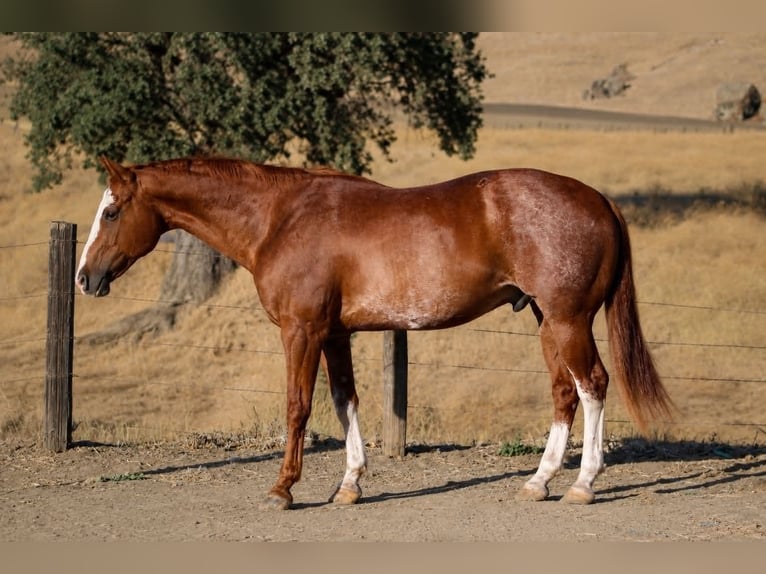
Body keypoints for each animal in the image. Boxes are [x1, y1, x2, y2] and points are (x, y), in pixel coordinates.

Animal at [76, 156, 673, 508]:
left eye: (111, 211)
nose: (85, 278)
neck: (279, 219)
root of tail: (598, 198)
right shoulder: (335, 334)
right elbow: (346, 402)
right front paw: (350, 484)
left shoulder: (301, 331)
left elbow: (297, 406)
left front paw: (284, 487)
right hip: (547, 321)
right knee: (563, 393)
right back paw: (538, 481)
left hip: (569, 319)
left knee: (593, 385)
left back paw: (582, 484)